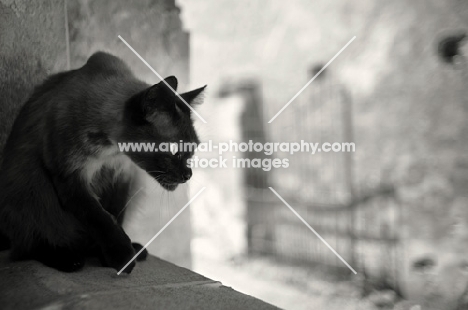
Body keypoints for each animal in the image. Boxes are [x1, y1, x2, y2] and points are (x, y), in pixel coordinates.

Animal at [0, 51, 206, 274]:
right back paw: (69, 259)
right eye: (175, 150)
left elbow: (115, 216)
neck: (109, 150)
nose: (188, 175)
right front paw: (122, 258)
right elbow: (102, 219)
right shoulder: (72, 179)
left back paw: (128, 249)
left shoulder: (121, 175)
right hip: (31, 186)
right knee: (27, 248)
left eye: (192, 150)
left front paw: (113, 256)